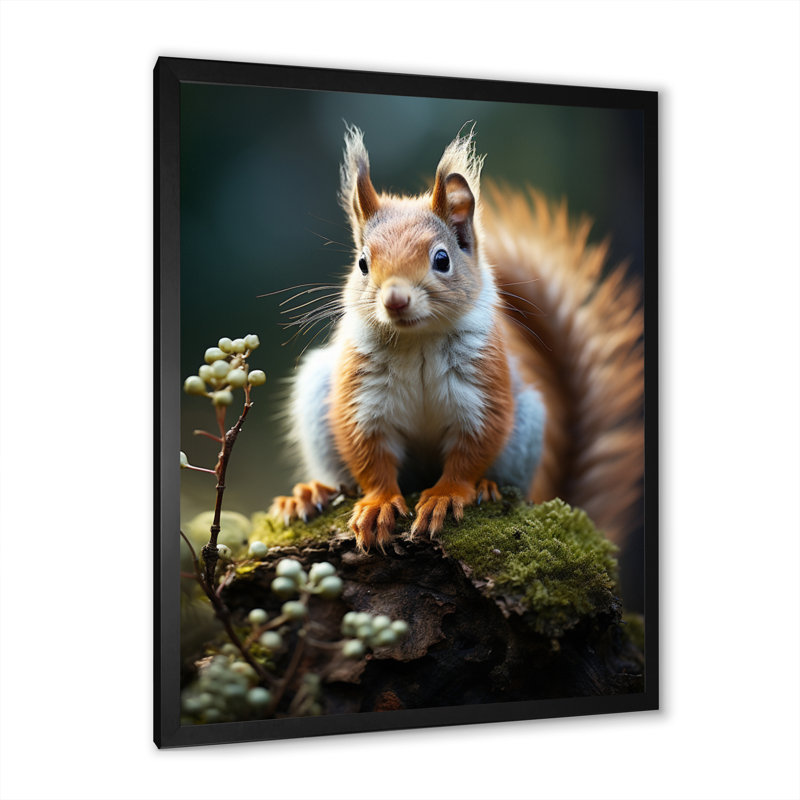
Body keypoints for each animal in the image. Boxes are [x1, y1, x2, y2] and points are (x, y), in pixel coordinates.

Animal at [270, 126, 644, 552]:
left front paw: (447, 495)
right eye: (362, 263)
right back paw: (310, 493)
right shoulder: (362, 398)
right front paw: (378, 504)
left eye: (442, 259)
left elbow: (472, 448)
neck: (417, 340)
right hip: (317, 394)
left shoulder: (481, 392)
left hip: (527, 427)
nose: (395, 300)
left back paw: (488, 486)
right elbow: (369, 454)